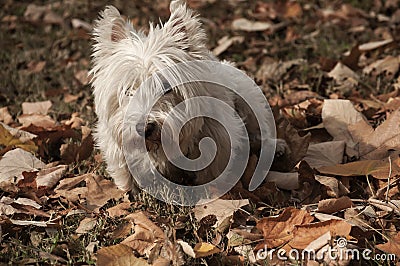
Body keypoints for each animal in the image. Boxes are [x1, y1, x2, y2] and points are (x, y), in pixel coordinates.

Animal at [90, 0, 284, 195]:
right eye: (128, 89)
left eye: (166, 87)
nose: (144, 128)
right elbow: (125, 172)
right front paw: (130, 191)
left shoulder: (218, 140)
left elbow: (211, 174)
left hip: (247, 95)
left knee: (260, 128)